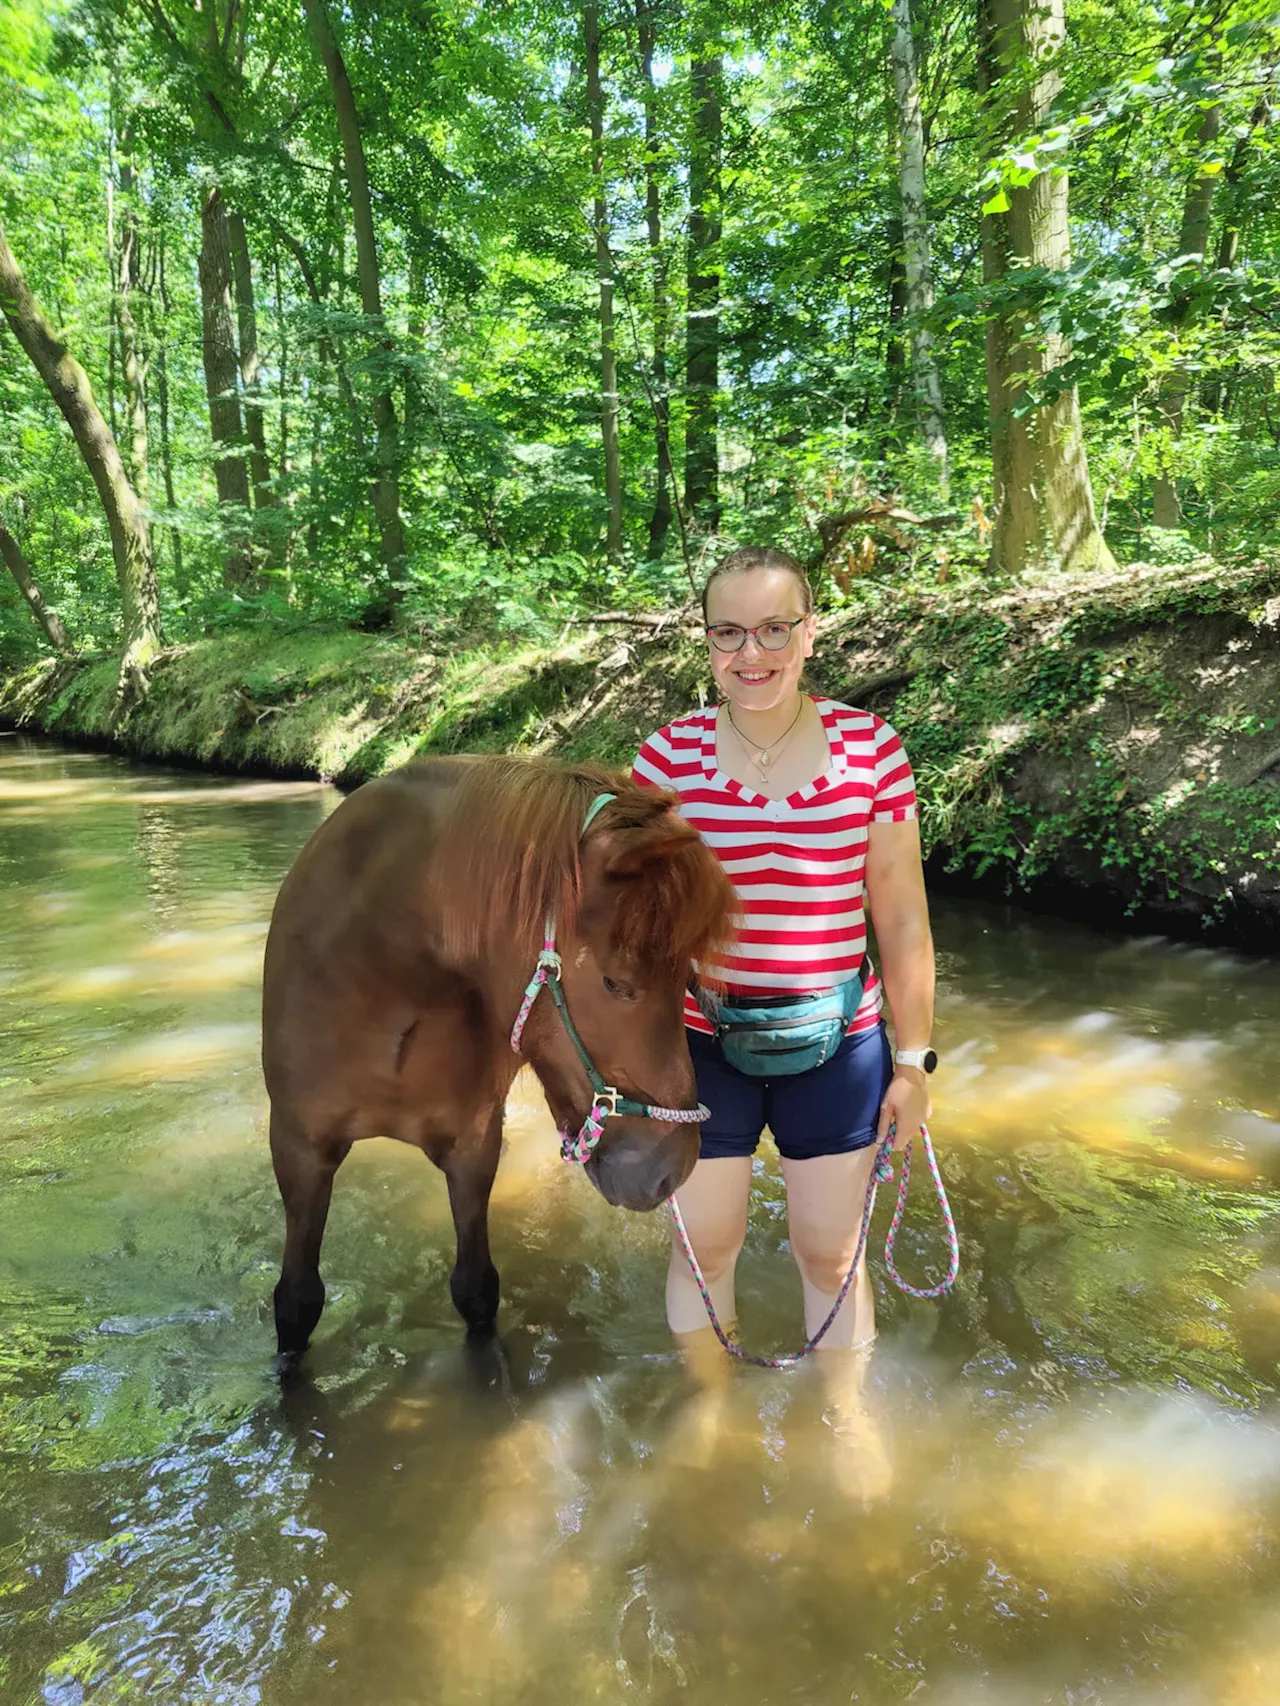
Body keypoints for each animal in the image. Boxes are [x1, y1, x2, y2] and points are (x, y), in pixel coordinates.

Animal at [261, 754, 737, 1364]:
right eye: (616, 982)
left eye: (685, 980)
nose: (671, 1169)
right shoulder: (298, 1149)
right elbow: (297, 1302)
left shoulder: (473, 1145)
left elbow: (476, 1288)